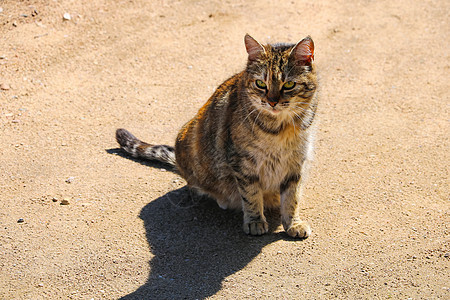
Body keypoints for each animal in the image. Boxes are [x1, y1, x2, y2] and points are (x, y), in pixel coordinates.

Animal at [118, 34, 318, 238]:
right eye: (261, 84)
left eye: (289, 84)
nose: (272, 102)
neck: (281, 129)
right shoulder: (243, 163)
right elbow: (251, 195)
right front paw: (255, 221)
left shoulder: (296, 163)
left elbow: (291, 198)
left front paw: (293, 223)